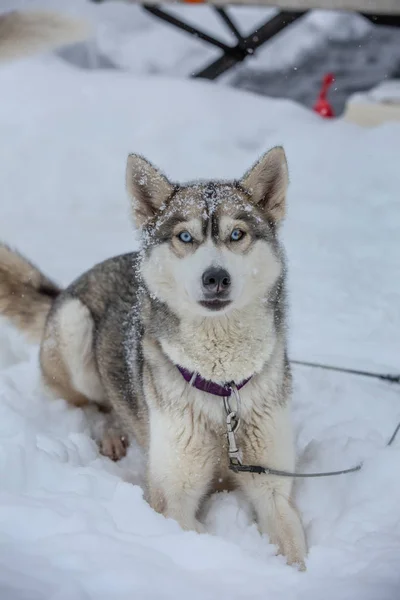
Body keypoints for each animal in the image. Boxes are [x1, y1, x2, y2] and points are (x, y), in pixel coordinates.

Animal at [0, 149, 306, 568]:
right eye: (185, 237)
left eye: (237, 234)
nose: (216, 278)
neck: (221, 387)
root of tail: (66, 289)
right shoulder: (171, 499)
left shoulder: (272, 485)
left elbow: (293, 546)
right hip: (75, 328)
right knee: (94, 405)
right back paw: (111, 435)